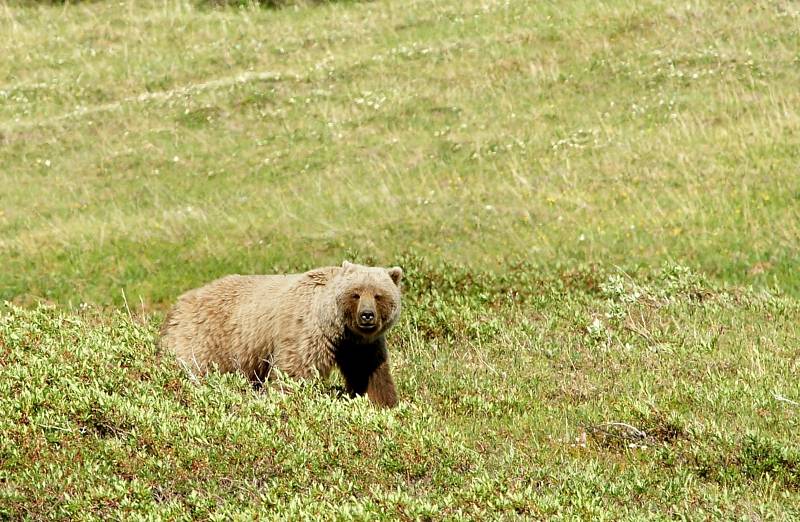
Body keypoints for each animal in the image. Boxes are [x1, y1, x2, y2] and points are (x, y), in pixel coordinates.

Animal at [159, 260, 404, 406]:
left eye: (379, 295)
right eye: (356, 293)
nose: (367, 315)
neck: (336, 328)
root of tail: (177, 305)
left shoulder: (361, 346)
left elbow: (371, 374)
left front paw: (383, 404)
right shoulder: (307, 333)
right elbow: (295, 373)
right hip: (204, 340)